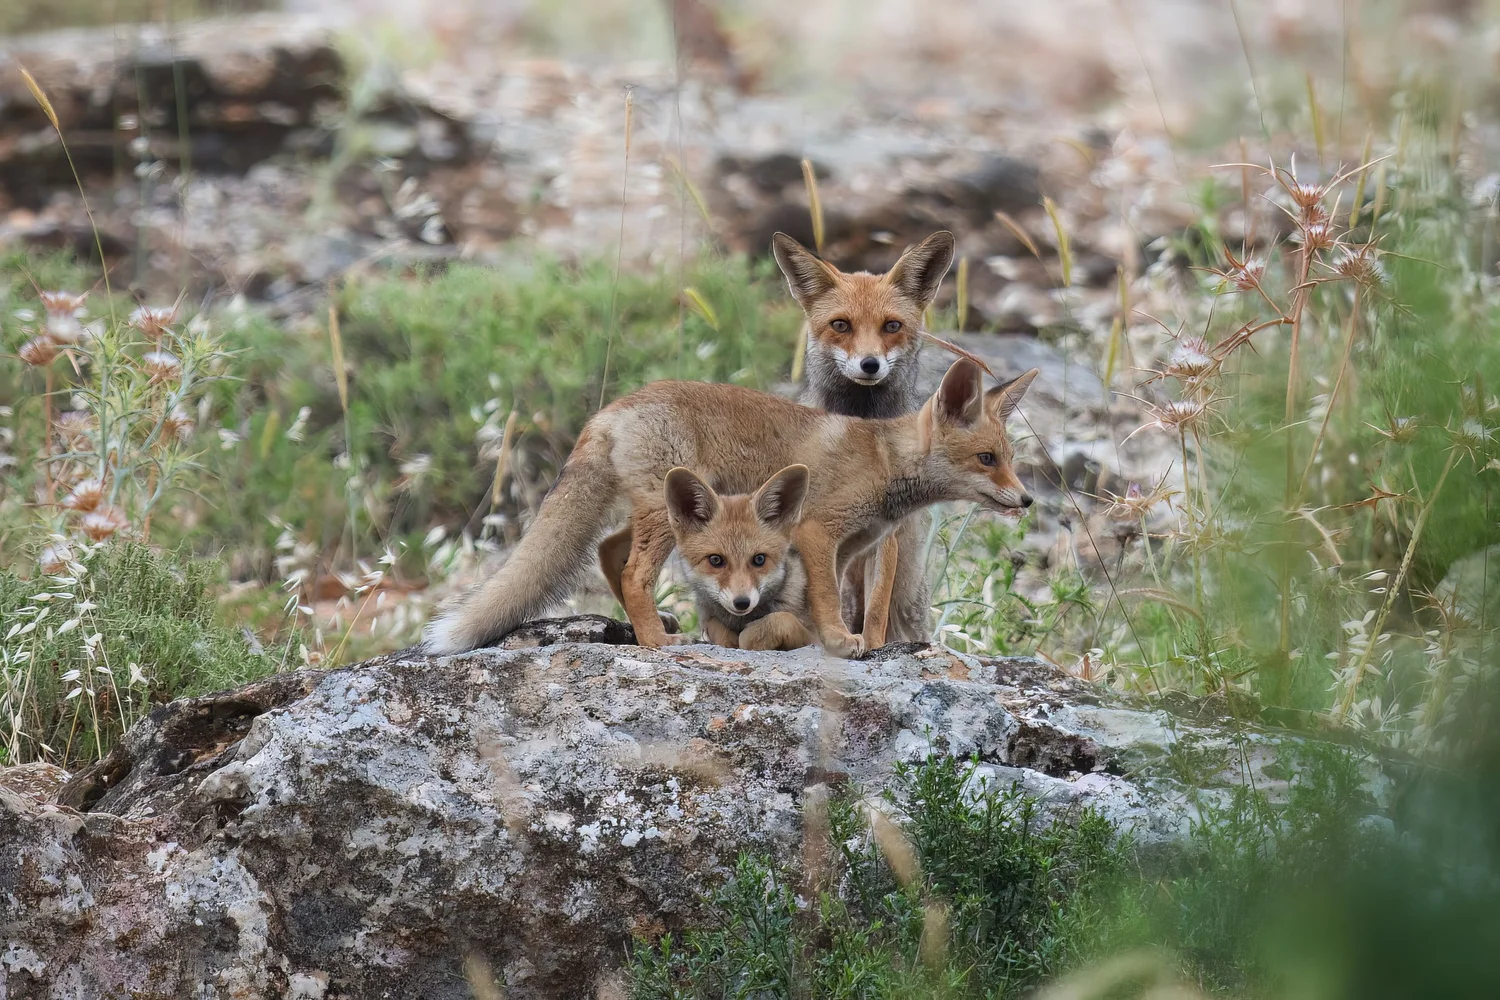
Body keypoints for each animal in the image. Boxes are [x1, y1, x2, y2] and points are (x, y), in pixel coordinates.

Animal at [596, 465, 824, 651]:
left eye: (759, 559)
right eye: (716, 560)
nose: (742, 602)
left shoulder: (816, 639)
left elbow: (779, 621)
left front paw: (750, 637)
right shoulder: (709, 617)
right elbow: (718, 629)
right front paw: (731, 639)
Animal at [772, 229, 956, 643]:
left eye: (892, 326)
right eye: (841, 325)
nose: (869, 364)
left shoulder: (887, 529)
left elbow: (875, 607)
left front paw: (868, 646)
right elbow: (830, 594)